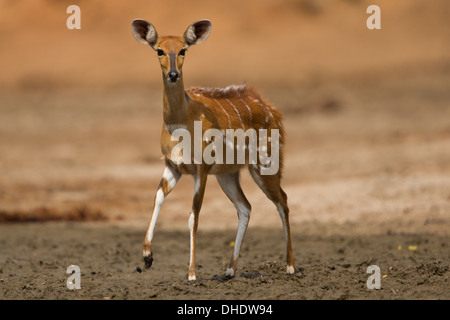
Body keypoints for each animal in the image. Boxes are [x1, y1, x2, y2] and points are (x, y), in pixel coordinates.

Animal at [132, 19, 294, 280]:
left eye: (183, 50)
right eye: (159, 50)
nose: (173, 74)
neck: (183, 119)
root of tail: (273, 110)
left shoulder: (202, 169)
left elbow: (193, 216)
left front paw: (191, 274)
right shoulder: (173, 166)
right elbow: (157, 197)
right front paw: (147, 257)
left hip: (265, 165)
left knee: (282, 200)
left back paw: (290, 266)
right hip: (228, 174)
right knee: (245, 207)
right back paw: (230, 270)